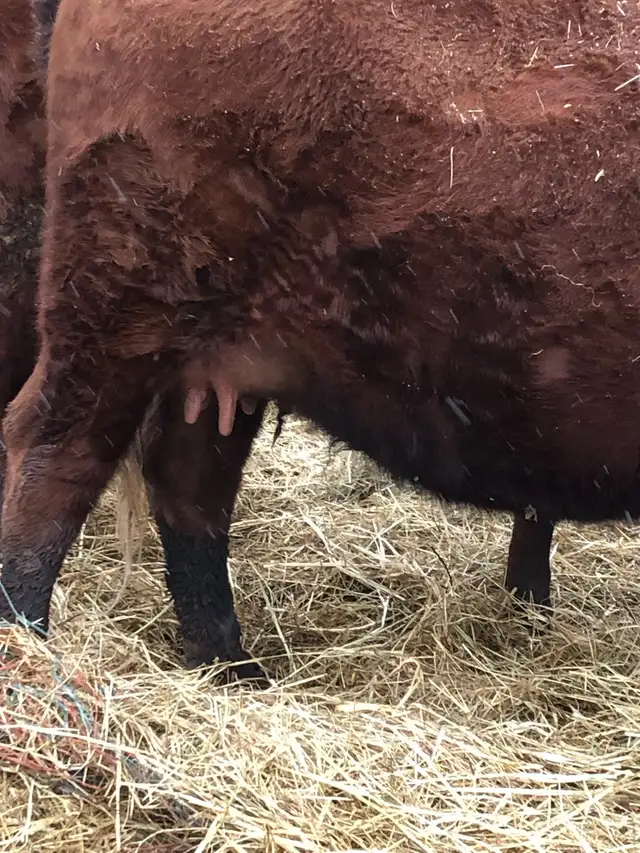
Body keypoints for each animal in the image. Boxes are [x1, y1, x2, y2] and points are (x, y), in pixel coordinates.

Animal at [1, 0, 639, 680]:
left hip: (219, 363)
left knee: (190, 483)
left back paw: (233, 669)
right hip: (116, 315)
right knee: (56, 460)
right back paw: (30, 650)